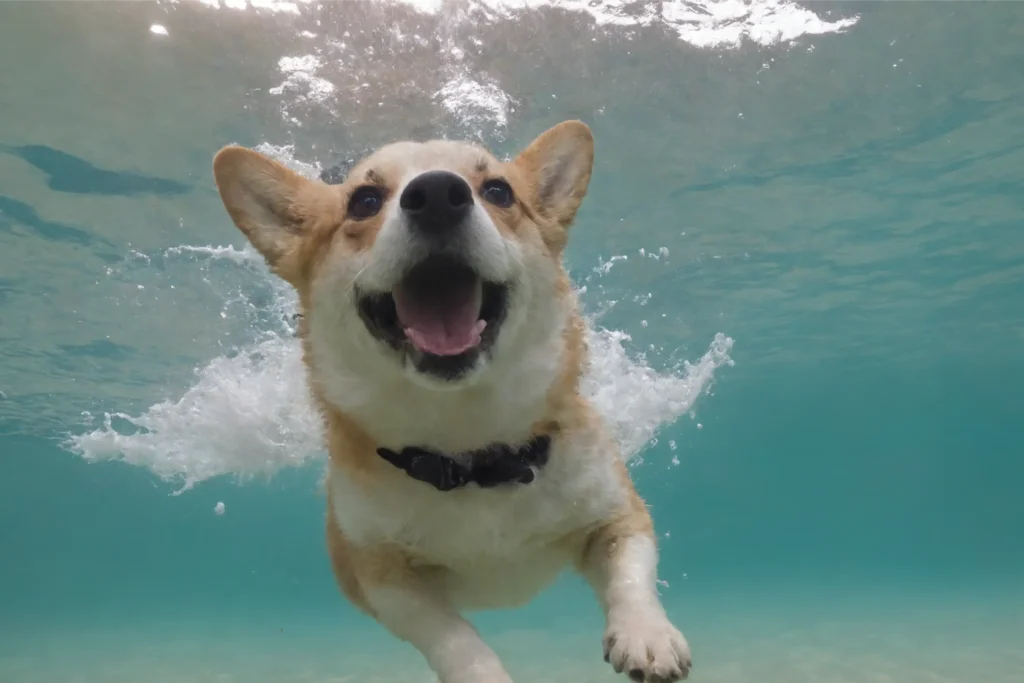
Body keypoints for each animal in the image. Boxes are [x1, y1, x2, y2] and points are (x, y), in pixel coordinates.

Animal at [211, 120, 692, 679]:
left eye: (499, 192)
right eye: (364, 201)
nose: (438, 194)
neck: (469, 452)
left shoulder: (617, 518)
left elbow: (632, 575)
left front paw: (646, 635)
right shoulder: (384, 578)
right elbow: (452, 637)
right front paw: (484, 674)